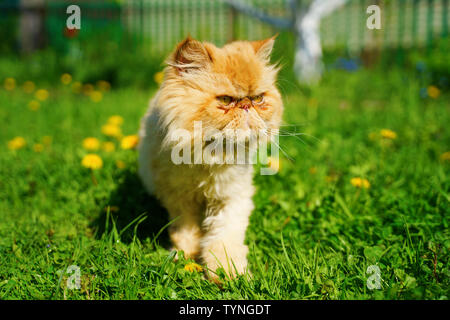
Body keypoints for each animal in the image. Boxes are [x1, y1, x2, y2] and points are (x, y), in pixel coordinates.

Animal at [139, 37, 284, 278]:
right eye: (225, 100)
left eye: (258, 99)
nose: (246, 105)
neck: (210, 157)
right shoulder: (178, 198)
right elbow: (186, 231)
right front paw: (185, 255)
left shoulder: (231, 197)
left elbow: (224, 239)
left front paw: (229, 274)